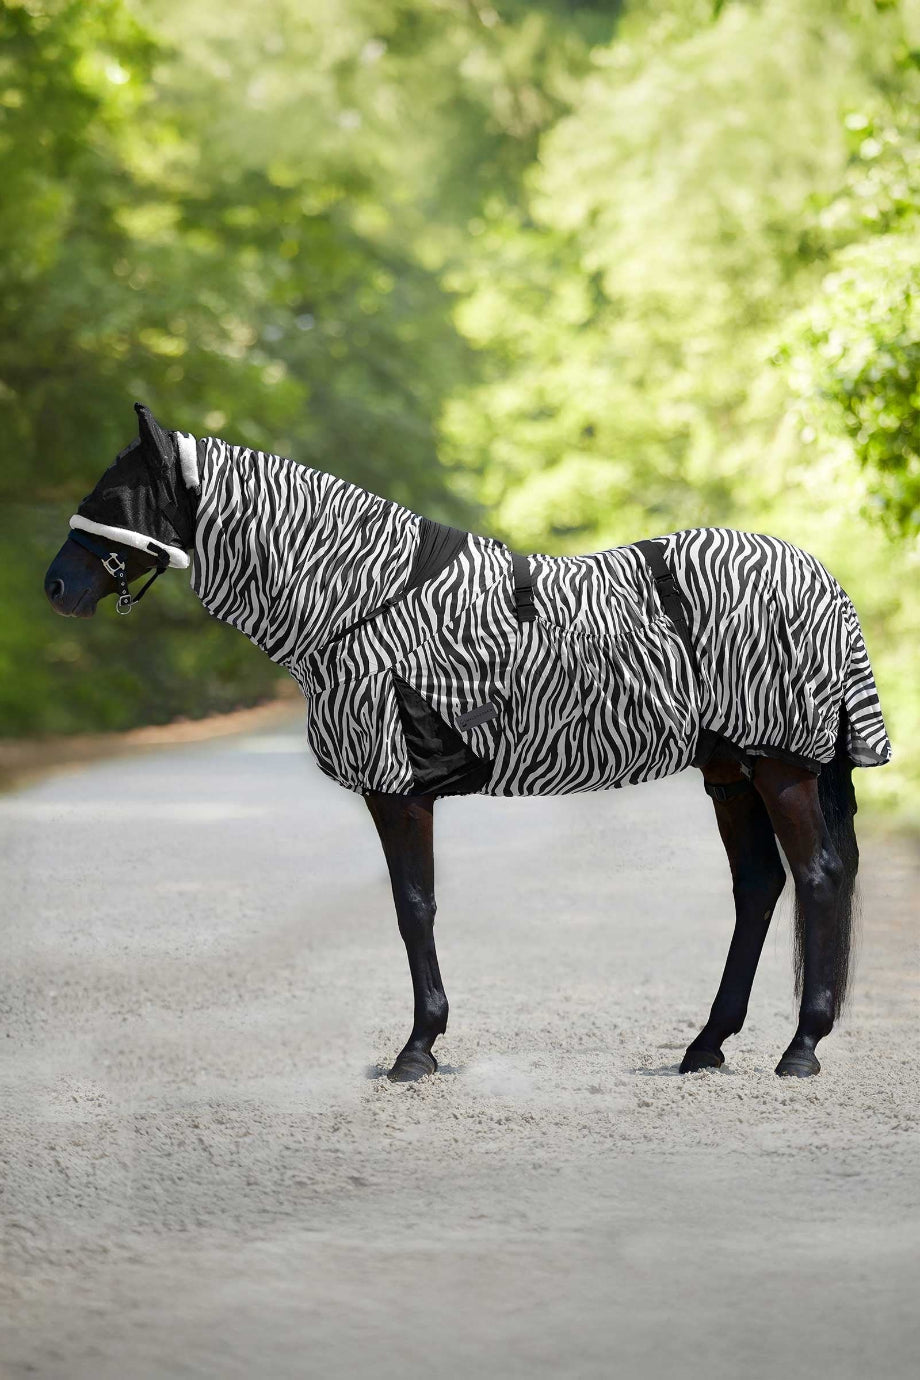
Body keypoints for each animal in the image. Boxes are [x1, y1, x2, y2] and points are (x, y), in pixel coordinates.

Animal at [45, 404, 891, 1081]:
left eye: (114, 496)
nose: (55, 587)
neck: (361, 600)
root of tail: (821, 578)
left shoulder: (396, 788)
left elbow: (413, 907)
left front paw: (417, 1049)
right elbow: (413, 907)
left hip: (780, 767)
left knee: (817, 878)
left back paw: (800, 1049)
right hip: (730, 771)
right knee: (760, 887)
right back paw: (706, 1045)